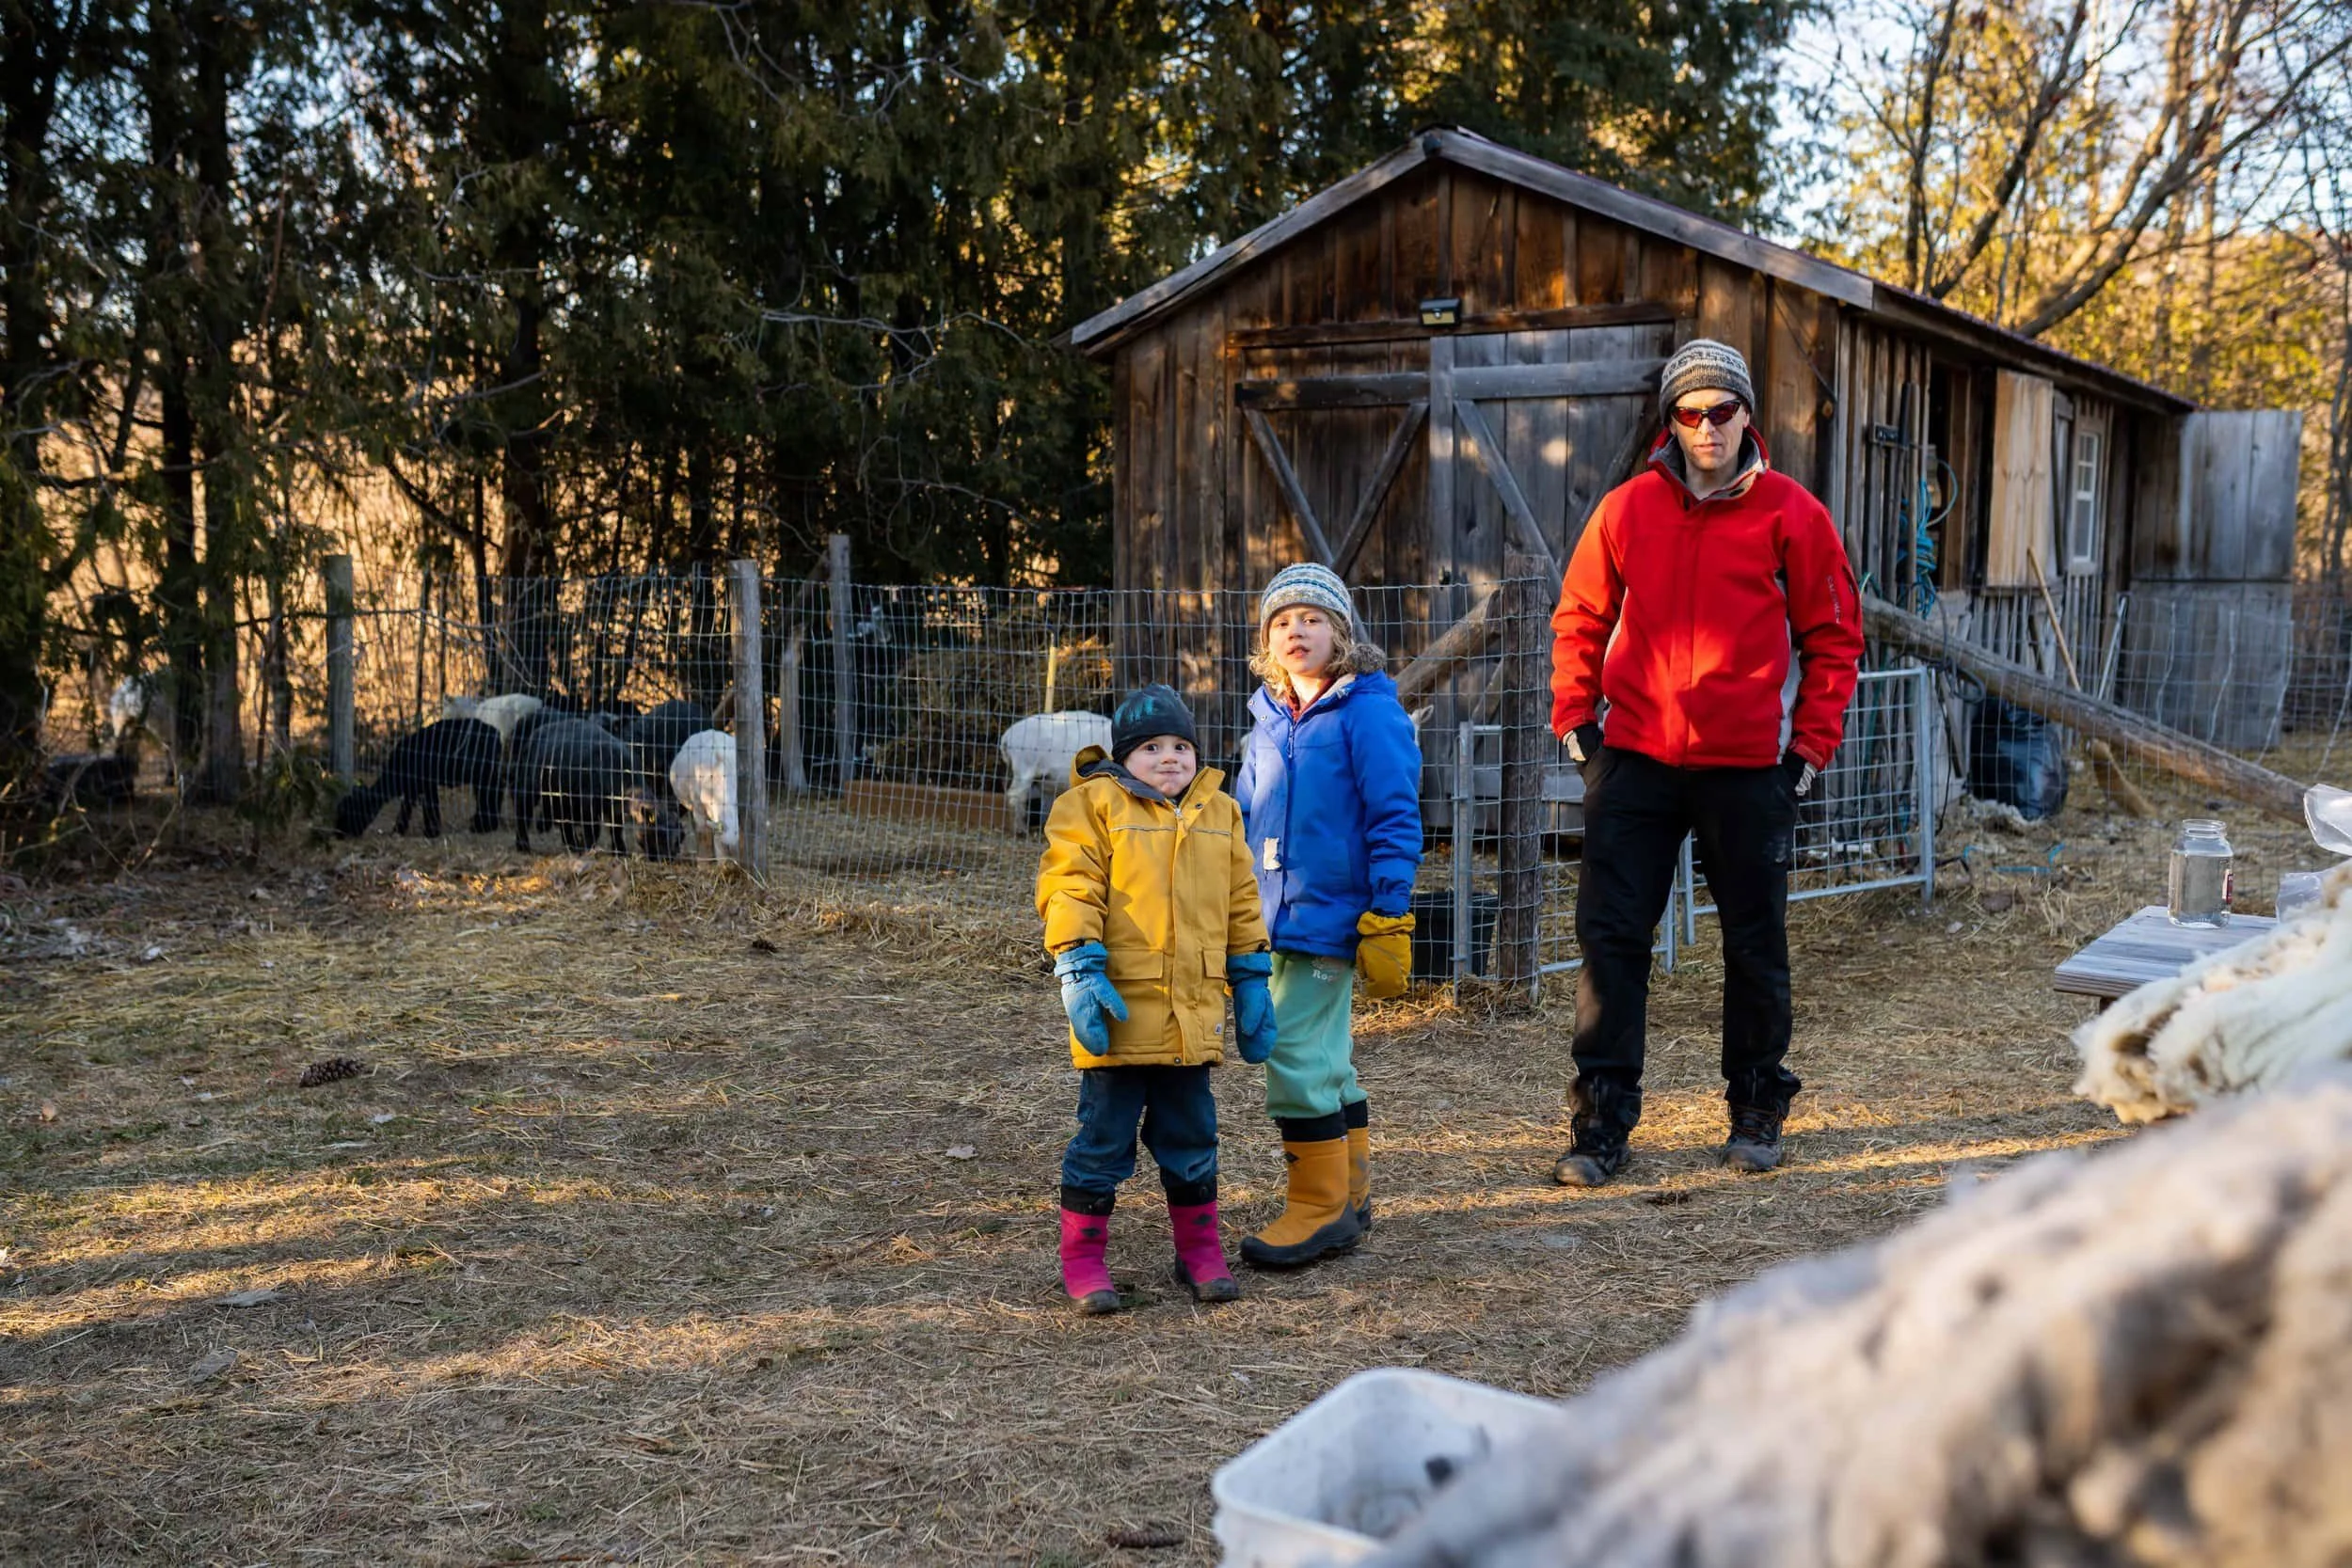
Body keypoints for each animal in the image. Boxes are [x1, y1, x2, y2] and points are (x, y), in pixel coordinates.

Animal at [333, 718, 504, 838]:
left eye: (351, 811)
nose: (338, 833)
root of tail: (495, 733)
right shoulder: (412, 787)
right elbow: (406, 808)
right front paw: (398, 830)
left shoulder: (426, 782)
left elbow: (430, 806)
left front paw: (431, 832)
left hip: (483, 771)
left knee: (490, 793)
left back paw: (483, 826)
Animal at [510, 717, 631, 855]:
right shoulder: (587, 801)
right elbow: (593, 828)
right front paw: (589, 849)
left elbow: (617, 828)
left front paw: (621, 852)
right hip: (530, 783)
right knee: (523, 808)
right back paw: (523, 845)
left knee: (562, 818)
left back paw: (571, 844)